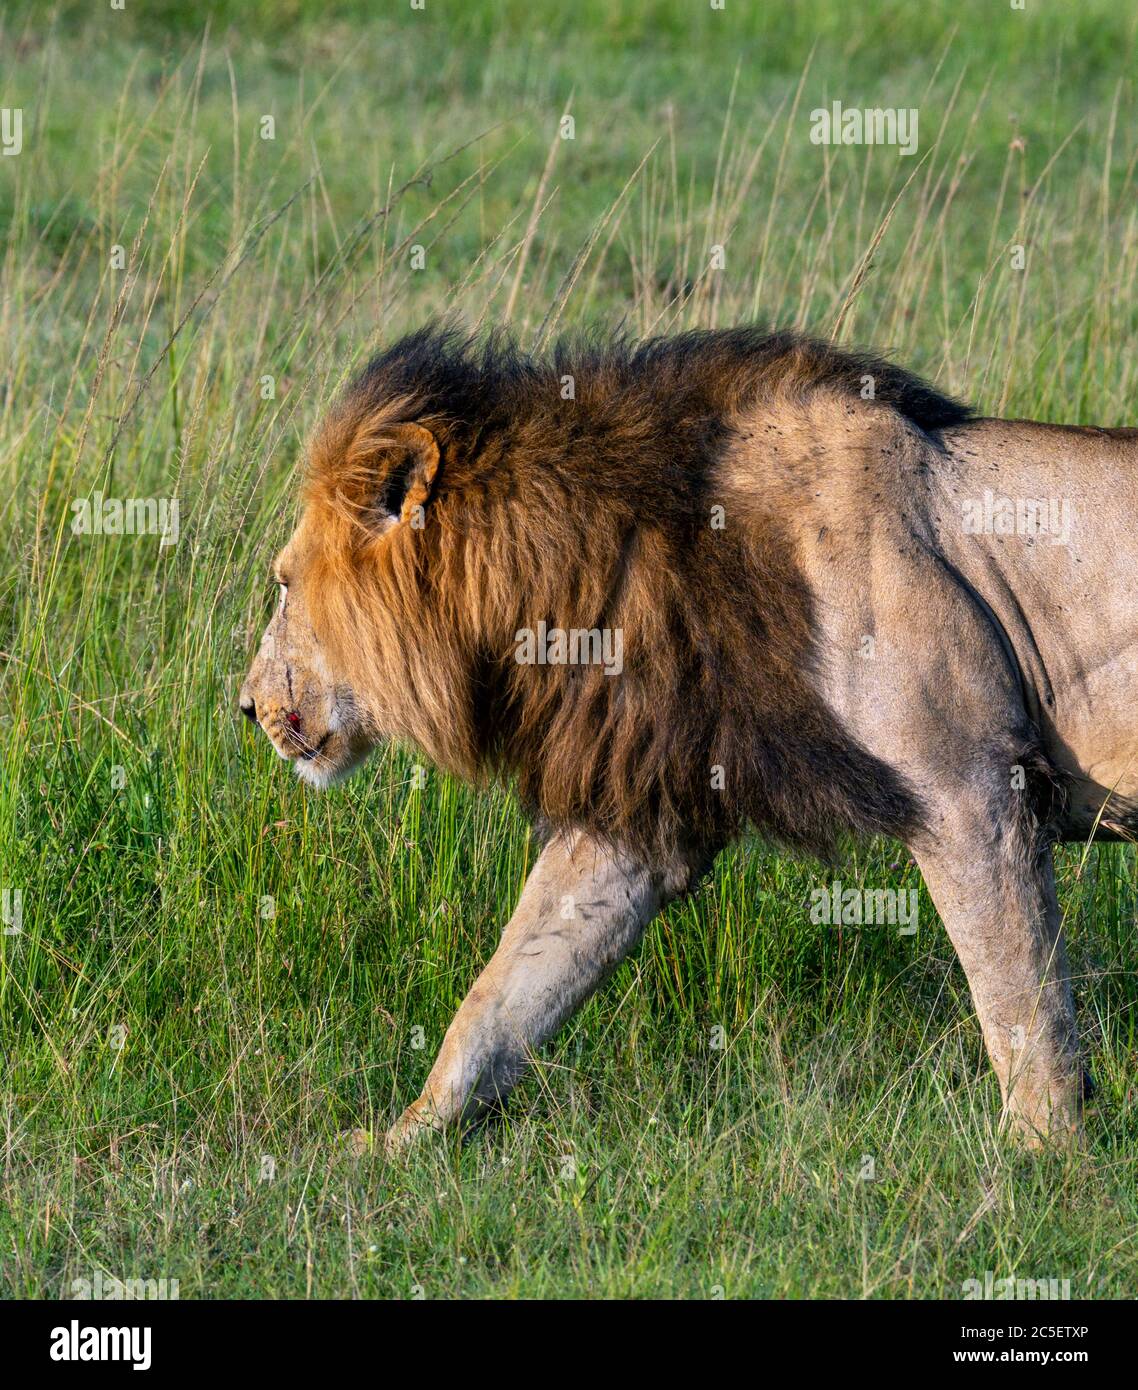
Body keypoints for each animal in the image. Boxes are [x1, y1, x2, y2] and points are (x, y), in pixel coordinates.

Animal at [240, 322, 1128, 1150]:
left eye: (282, 585)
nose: (246, 708)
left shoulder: (969, 784)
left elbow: (1019, 996)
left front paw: (1041, 1157)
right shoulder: (643, 805)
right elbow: (503, 994)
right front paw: (401, 1140)